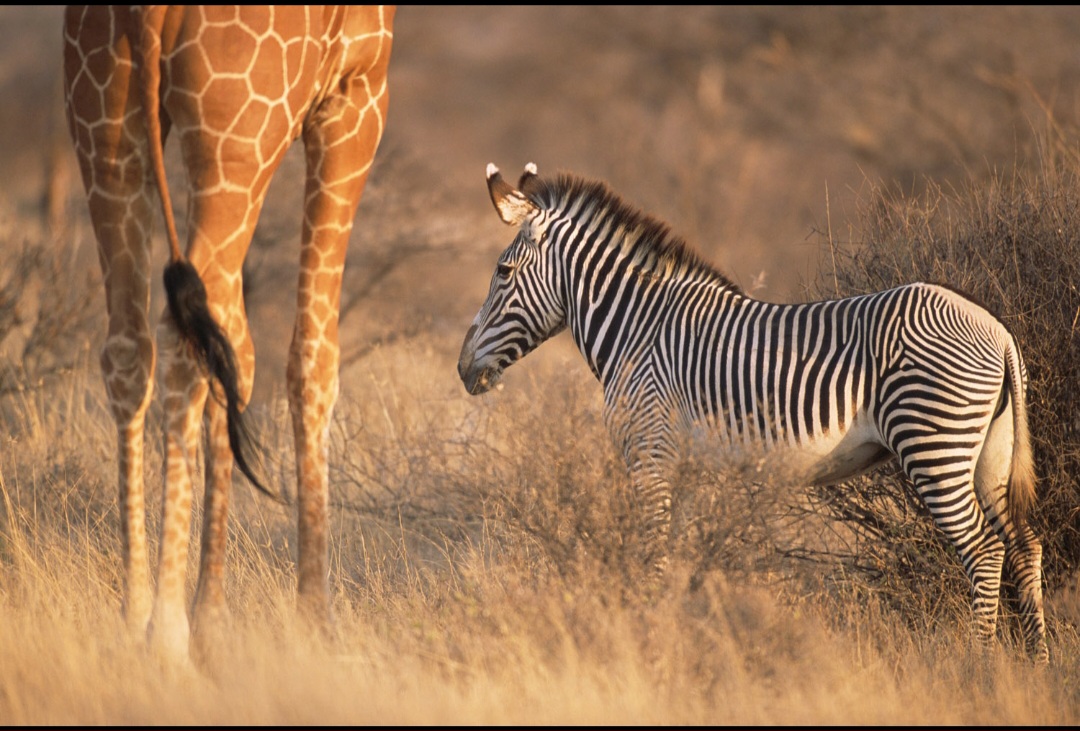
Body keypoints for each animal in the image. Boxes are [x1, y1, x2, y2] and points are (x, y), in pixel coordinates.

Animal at [63, 5, 395, 658]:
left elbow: (237, 348)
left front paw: (212, 618)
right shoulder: (356, 96)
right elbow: (311, 357)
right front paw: (316, 620)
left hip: (104, 126)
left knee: (130, 344)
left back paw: (133, 613)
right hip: (236, 144)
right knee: (182, 343)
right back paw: (166, 635)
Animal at [457, 162, 1049, 664]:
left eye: (503, 271)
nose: (463, 368)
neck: (639, 329)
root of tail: (999, 332)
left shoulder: (650, 452)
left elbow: (653, 554)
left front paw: (648, 635)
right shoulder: (685, 467)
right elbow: (684, 556)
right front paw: (683, 631)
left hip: (934, 444)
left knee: (984, 550)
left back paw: (980, 664)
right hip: (989, 454)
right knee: (1024, 545)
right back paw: (1037, 667)